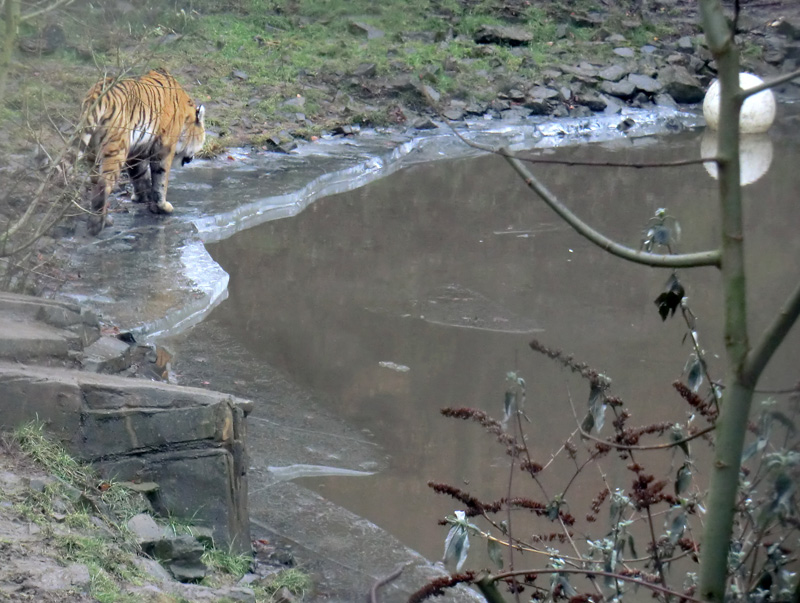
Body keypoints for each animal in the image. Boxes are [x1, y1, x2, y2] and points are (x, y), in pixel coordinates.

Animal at [79, 68, 206, 234]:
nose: (191, 158)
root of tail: (96, 96)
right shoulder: (164, 148)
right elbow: (160, 181)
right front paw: (162, 207)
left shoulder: (136, 152)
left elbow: (140, 176)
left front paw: (142, 198)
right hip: (116, 150)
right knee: (102, 186)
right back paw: (97, 225)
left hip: (92, 152)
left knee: (95, 185)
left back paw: (104, 219)